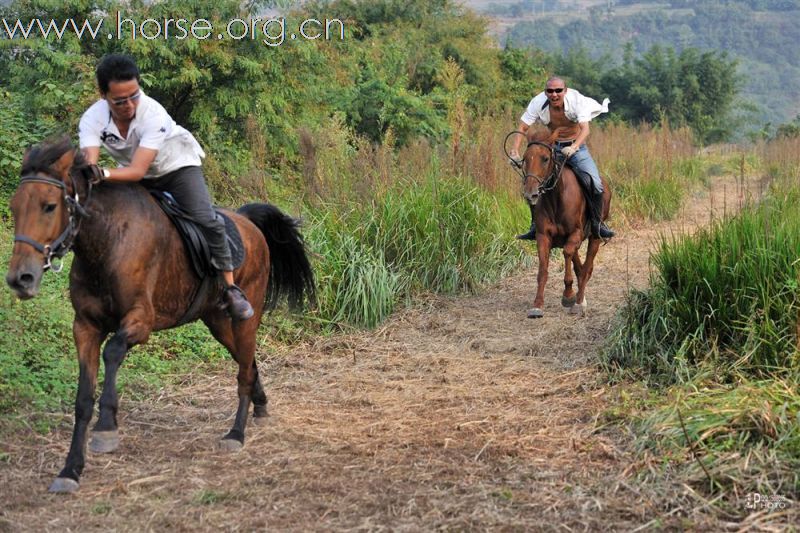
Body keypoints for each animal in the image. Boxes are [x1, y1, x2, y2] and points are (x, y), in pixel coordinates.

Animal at [4, 136, 316, 490]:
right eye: (14, 207)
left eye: (49, 206)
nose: (20, 279)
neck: (106, 239)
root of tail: (247, 223)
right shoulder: (84, 327)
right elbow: (82, 399)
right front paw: (70, 470)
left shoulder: (141, 321)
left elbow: (113, 351)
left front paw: (106, 427)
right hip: (217, 321)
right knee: (247, 361)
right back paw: (260, 406)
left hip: (244, 317)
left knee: (244, 371)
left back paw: (236, 433)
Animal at [520, 128, 612, 320]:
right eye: (525, 158)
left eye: (545, 158)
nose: (530, 194)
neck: (556, 197)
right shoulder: (543, 236)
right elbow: (543, 269)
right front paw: (537, 305)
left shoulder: (576, 233)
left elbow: (568, 254)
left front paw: (569, 296)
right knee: (580, 266)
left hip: (594, 237)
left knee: (586, 267)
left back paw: (578, 301)